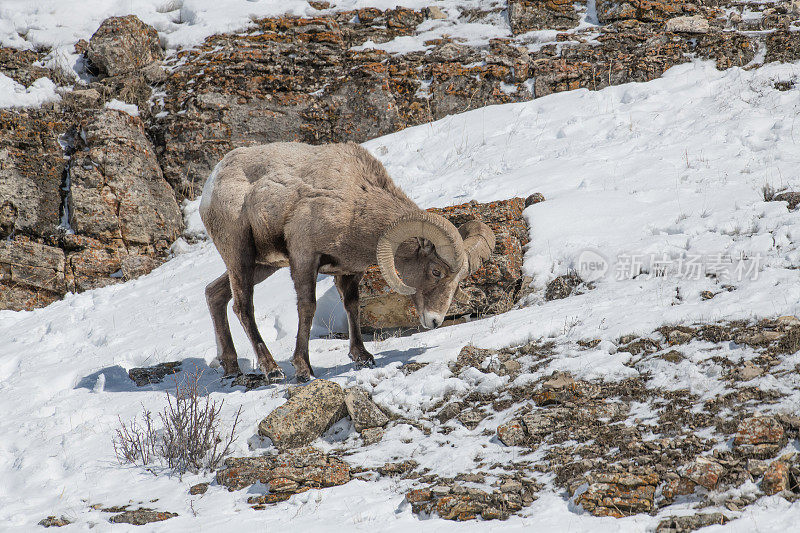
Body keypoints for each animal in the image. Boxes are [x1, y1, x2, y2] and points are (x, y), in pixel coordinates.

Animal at [198, 143, 494, 380]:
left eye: (458, 283)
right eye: (435, 271)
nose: (434, 321)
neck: (355, 204)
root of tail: (212, 183)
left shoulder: (349, 271)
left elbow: (352, 306)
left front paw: (362, 357)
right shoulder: (304, 257)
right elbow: (307, 308)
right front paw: (304, 369)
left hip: (262, 266)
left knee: (214, 294)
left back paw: (232, 368)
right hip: (239, 256)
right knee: (243, 307)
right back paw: (272, 369)